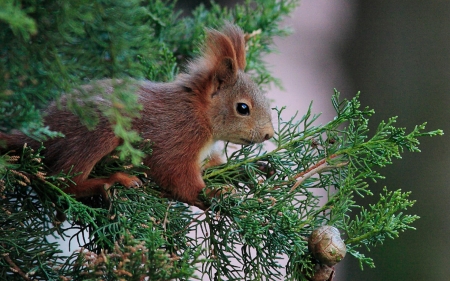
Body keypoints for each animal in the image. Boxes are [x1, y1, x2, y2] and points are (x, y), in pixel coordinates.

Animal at [1, 23, 274, 208]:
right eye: (242, 108)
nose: (269, 134)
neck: (199, 115)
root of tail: (41, 129)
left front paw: (251, 167)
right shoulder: (177, 139)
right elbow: (178, 178)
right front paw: (214, 194)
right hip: (98, 132)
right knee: (63, 181)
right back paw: (110, 181)